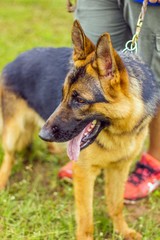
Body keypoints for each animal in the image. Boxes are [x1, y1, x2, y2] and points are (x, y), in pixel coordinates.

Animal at [39, 21, 159, 240]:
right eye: (63, 94)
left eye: (79, 100)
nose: (42, 135)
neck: (118, 131)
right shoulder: (84, 172)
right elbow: (86, 219)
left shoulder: (120, 168)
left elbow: (116, 205)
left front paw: (122, 231)